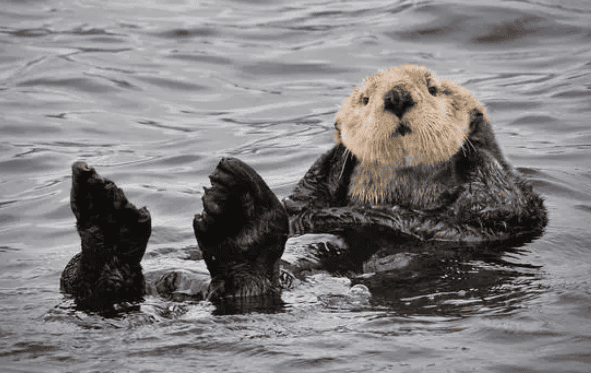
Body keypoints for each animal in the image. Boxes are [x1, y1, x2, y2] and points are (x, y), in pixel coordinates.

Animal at [60, 65, 544, 312]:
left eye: (434, 89)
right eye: (366, 99)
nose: (398, 96)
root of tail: (188, 290)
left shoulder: (506, 212)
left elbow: (495, 198)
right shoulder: (307, 197)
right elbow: (306, 199)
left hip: (265, 281)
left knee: (252, 284)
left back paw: (240, 219)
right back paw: (107, 218)